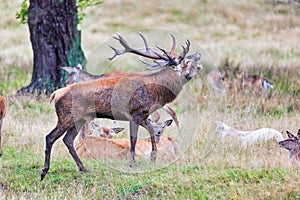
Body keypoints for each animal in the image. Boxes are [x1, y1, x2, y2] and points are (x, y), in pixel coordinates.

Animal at [40, 32, 202, 180]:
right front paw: (133, 164)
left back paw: (83, 169)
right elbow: (133, 139)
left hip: (79, 119)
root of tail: (55, 94)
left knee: (67, 140)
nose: (190, 76)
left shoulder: (144, 115)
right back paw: (44, 171)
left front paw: (153, 158)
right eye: (185, 64)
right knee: (50, 137)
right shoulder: (135, 113)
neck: (155, 91)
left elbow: (151, 131)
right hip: (66, 116)